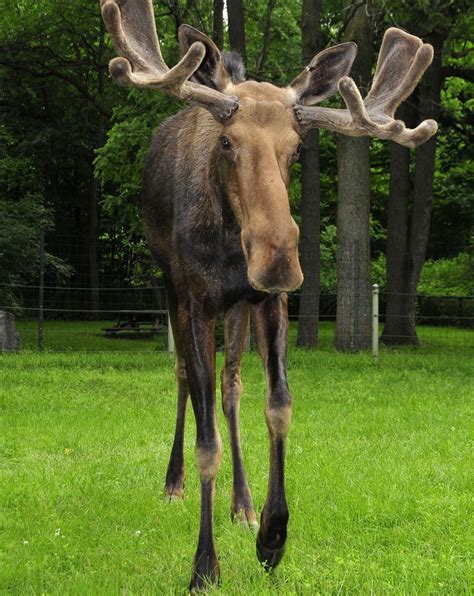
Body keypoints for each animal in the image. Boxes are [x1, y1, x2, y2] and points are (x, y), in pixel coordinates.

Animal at [99, 0, 436, 588]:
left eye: (296, 148)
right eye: (227, 141)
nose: (278, 259)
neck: (229, 246)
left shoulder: (269, 302)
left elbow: (277, 407)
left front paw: (273, 535)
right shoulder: (197, 298)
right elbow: (206, 439)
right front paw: (204, 566)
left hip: (237, 309)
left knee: (232, 385)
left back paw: (242, 503)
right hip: (171, 286)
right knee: (185, 377)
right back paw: (173, 482)